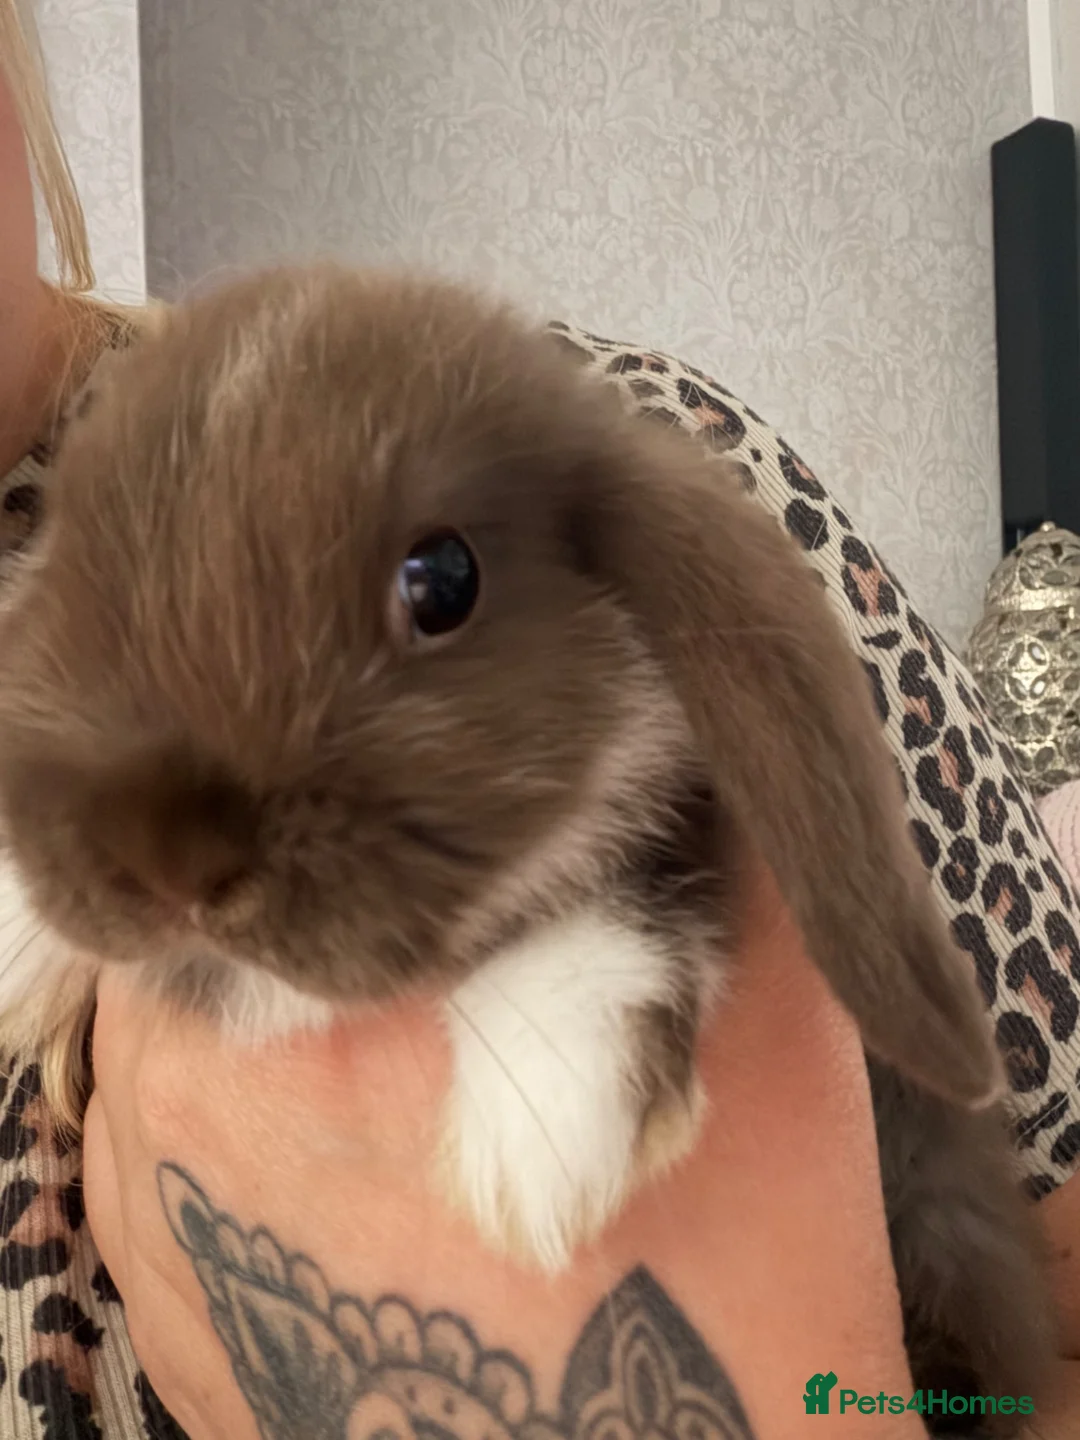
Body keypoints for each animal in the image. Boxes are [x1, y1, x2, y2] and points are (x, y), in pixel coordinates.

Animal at [0, 263, 1053, 1432]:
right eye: (69, 554)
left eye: (442, 579)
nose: (171, 863)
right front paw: (14, 939)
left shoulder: (679, 815)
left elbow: (621, 902)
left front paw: (542, 1139)